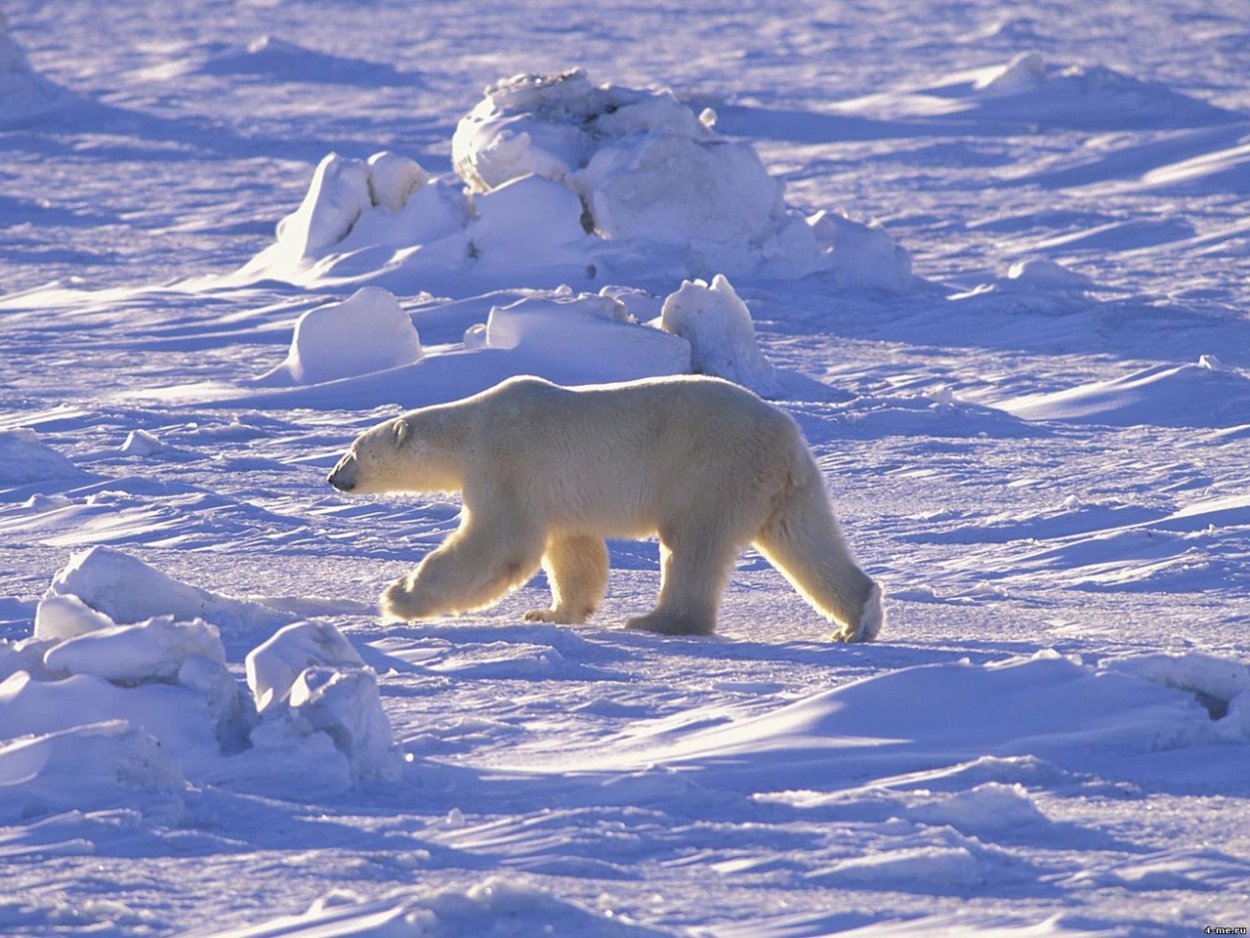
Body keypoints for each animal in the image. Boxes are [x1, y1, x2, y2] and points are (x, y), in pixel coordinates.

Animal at [327, 377, 885, 645]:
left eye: (353, 451)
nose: (333, 477)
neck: (470, 427)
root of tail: (786, 440)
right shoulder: (556, 494)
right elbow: (574, 551)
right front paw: (550, 612)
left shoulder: (506, 462)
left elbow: (500, 543)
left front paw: (399, 597)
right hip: (786, 487)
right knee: (806, 541)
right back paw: (856, 619)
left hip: (711, 469)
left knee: (693, 545)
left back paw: (656, 620)